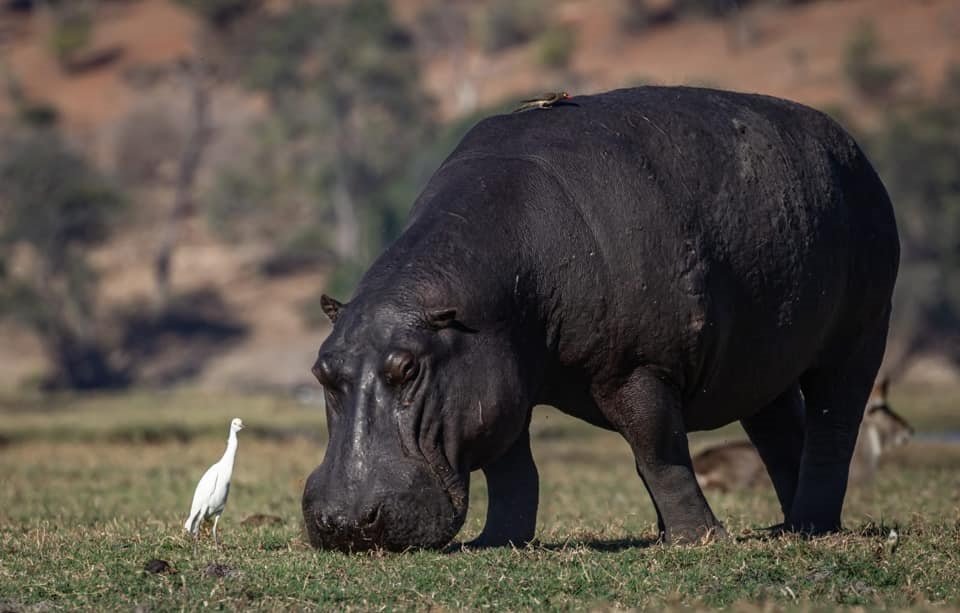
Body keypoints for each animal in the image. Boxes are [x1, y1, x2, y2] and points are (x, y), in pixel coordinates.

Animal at [303, 86, 900, 551]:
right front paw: (498, 541)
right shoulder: (497, 377)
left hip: (860, 334)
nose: (345, 522)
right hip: (759, 358)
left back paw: (812, 524)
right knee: (780, 428)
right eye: (322, 371)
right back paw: (789, 530)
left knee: (834, 423)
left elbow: (657, 449)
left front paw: (698, 540)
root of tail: (855, 149)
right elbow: (510, 467)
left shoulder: (635, 367)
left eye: (408, 369)